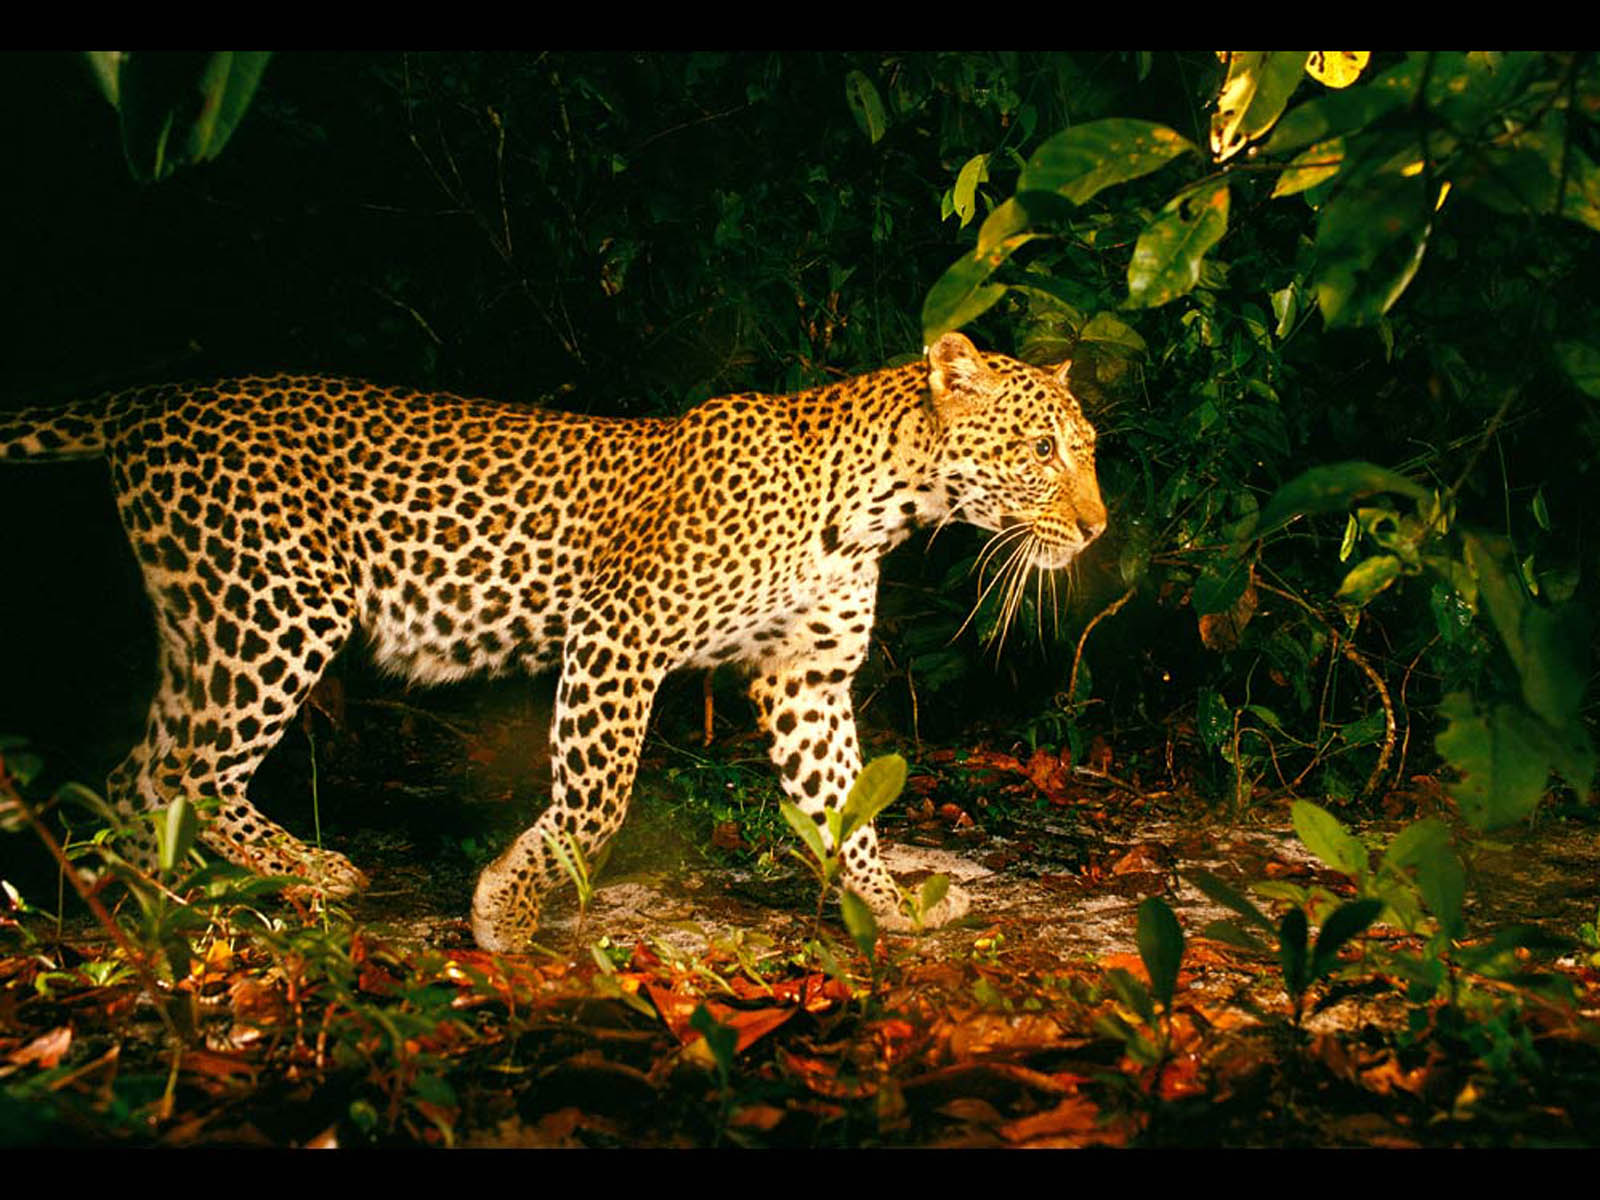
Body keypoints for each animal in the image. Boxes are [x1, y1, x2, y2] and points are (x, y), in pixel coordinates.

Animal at [0, 334, 1107, 953]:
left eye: (1086, 451)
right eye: (1041, 449)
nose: (1098, 529)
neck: (881, 506)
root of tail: (147, 399)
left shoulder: (806, 677)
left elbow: (844, 809)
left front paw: (889, 910)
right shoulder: (621, 634)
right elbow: (597, 800)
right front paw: (509, 911)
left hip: (208, 617)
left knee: (137, 770)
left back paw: (156, 896)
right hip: (278, 605)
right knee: (184, 770)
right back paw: (295, 875)